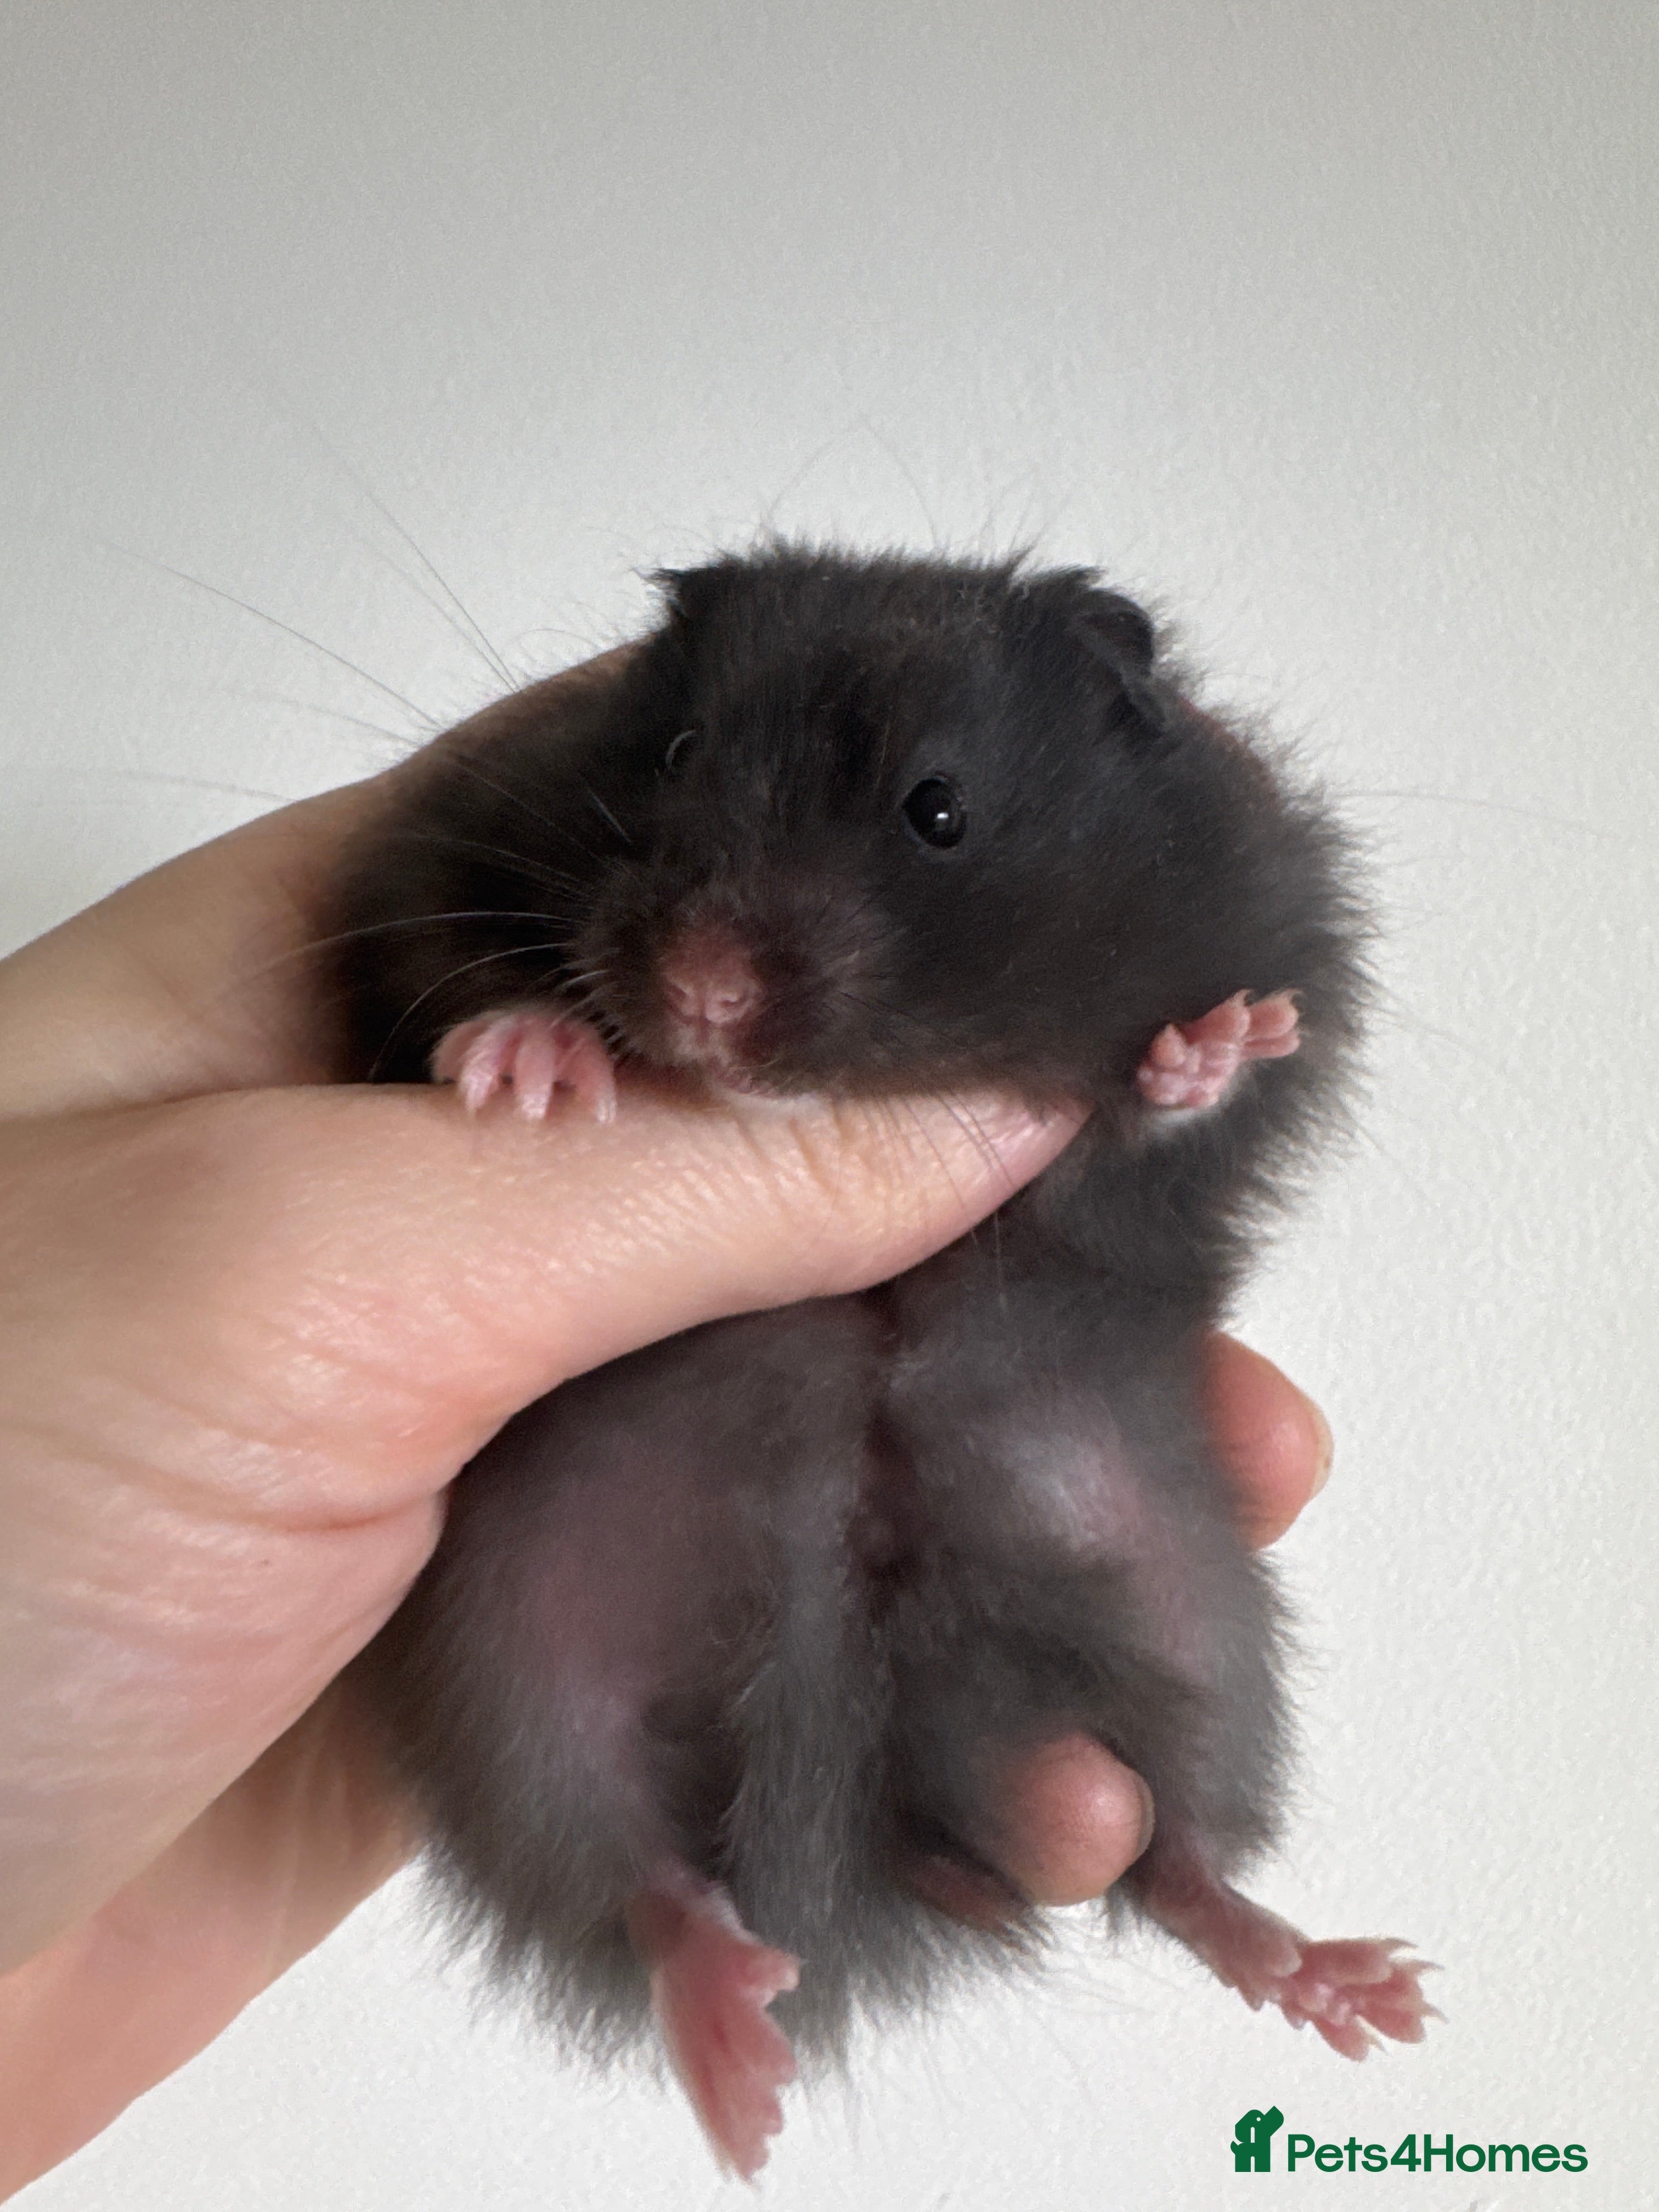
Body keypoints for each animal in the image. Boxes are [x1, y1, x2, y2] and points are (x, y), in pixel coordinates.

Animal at [329, 546, 1432, 2177]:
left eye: (940, 812)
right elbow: (446, 977)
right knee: (626, 1867)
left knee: (1177, 1856)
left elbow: (1168, 1127)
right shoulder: (434, 856)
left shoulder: (1259, 968)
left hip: (1197, 1611)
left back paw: (1349, 1990)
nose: (707, 993)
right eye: (674, 753)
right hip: (519, 1650)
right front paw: (538, 1063)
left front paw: (1206, 1048)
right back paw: (740, 2074)